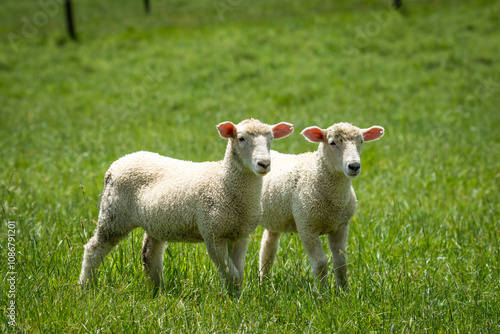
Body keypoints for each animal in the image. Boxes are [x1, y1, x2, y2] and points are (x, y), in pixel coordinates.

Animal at [79, 118, 292, 294]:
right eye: (241, 138)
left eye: (271, 138)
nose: (264, 164)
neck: (224, 183)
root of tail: (121, 161)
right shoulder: (213, 234)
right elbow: (231, 274)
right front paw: (230, 301)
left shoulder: (240, 234)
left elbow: (238, 274)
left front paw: (237, 300)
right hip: (114, 215)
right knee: (94, 249)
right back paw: (86, 286)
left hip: (156, 222)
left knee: (149, 254)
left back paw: (158, 290)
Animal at [258, 121, 382, 290]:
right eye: (332, 142)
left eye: (361, 141)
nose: (354, 166)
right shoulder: (306, 227)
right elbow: (320, 263)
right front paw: (321, 293)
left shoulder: (341, 225)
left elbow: (341, 262)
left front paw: (343, 291)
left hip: (276, 217)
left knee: (267, 248)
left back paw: (264, 283)